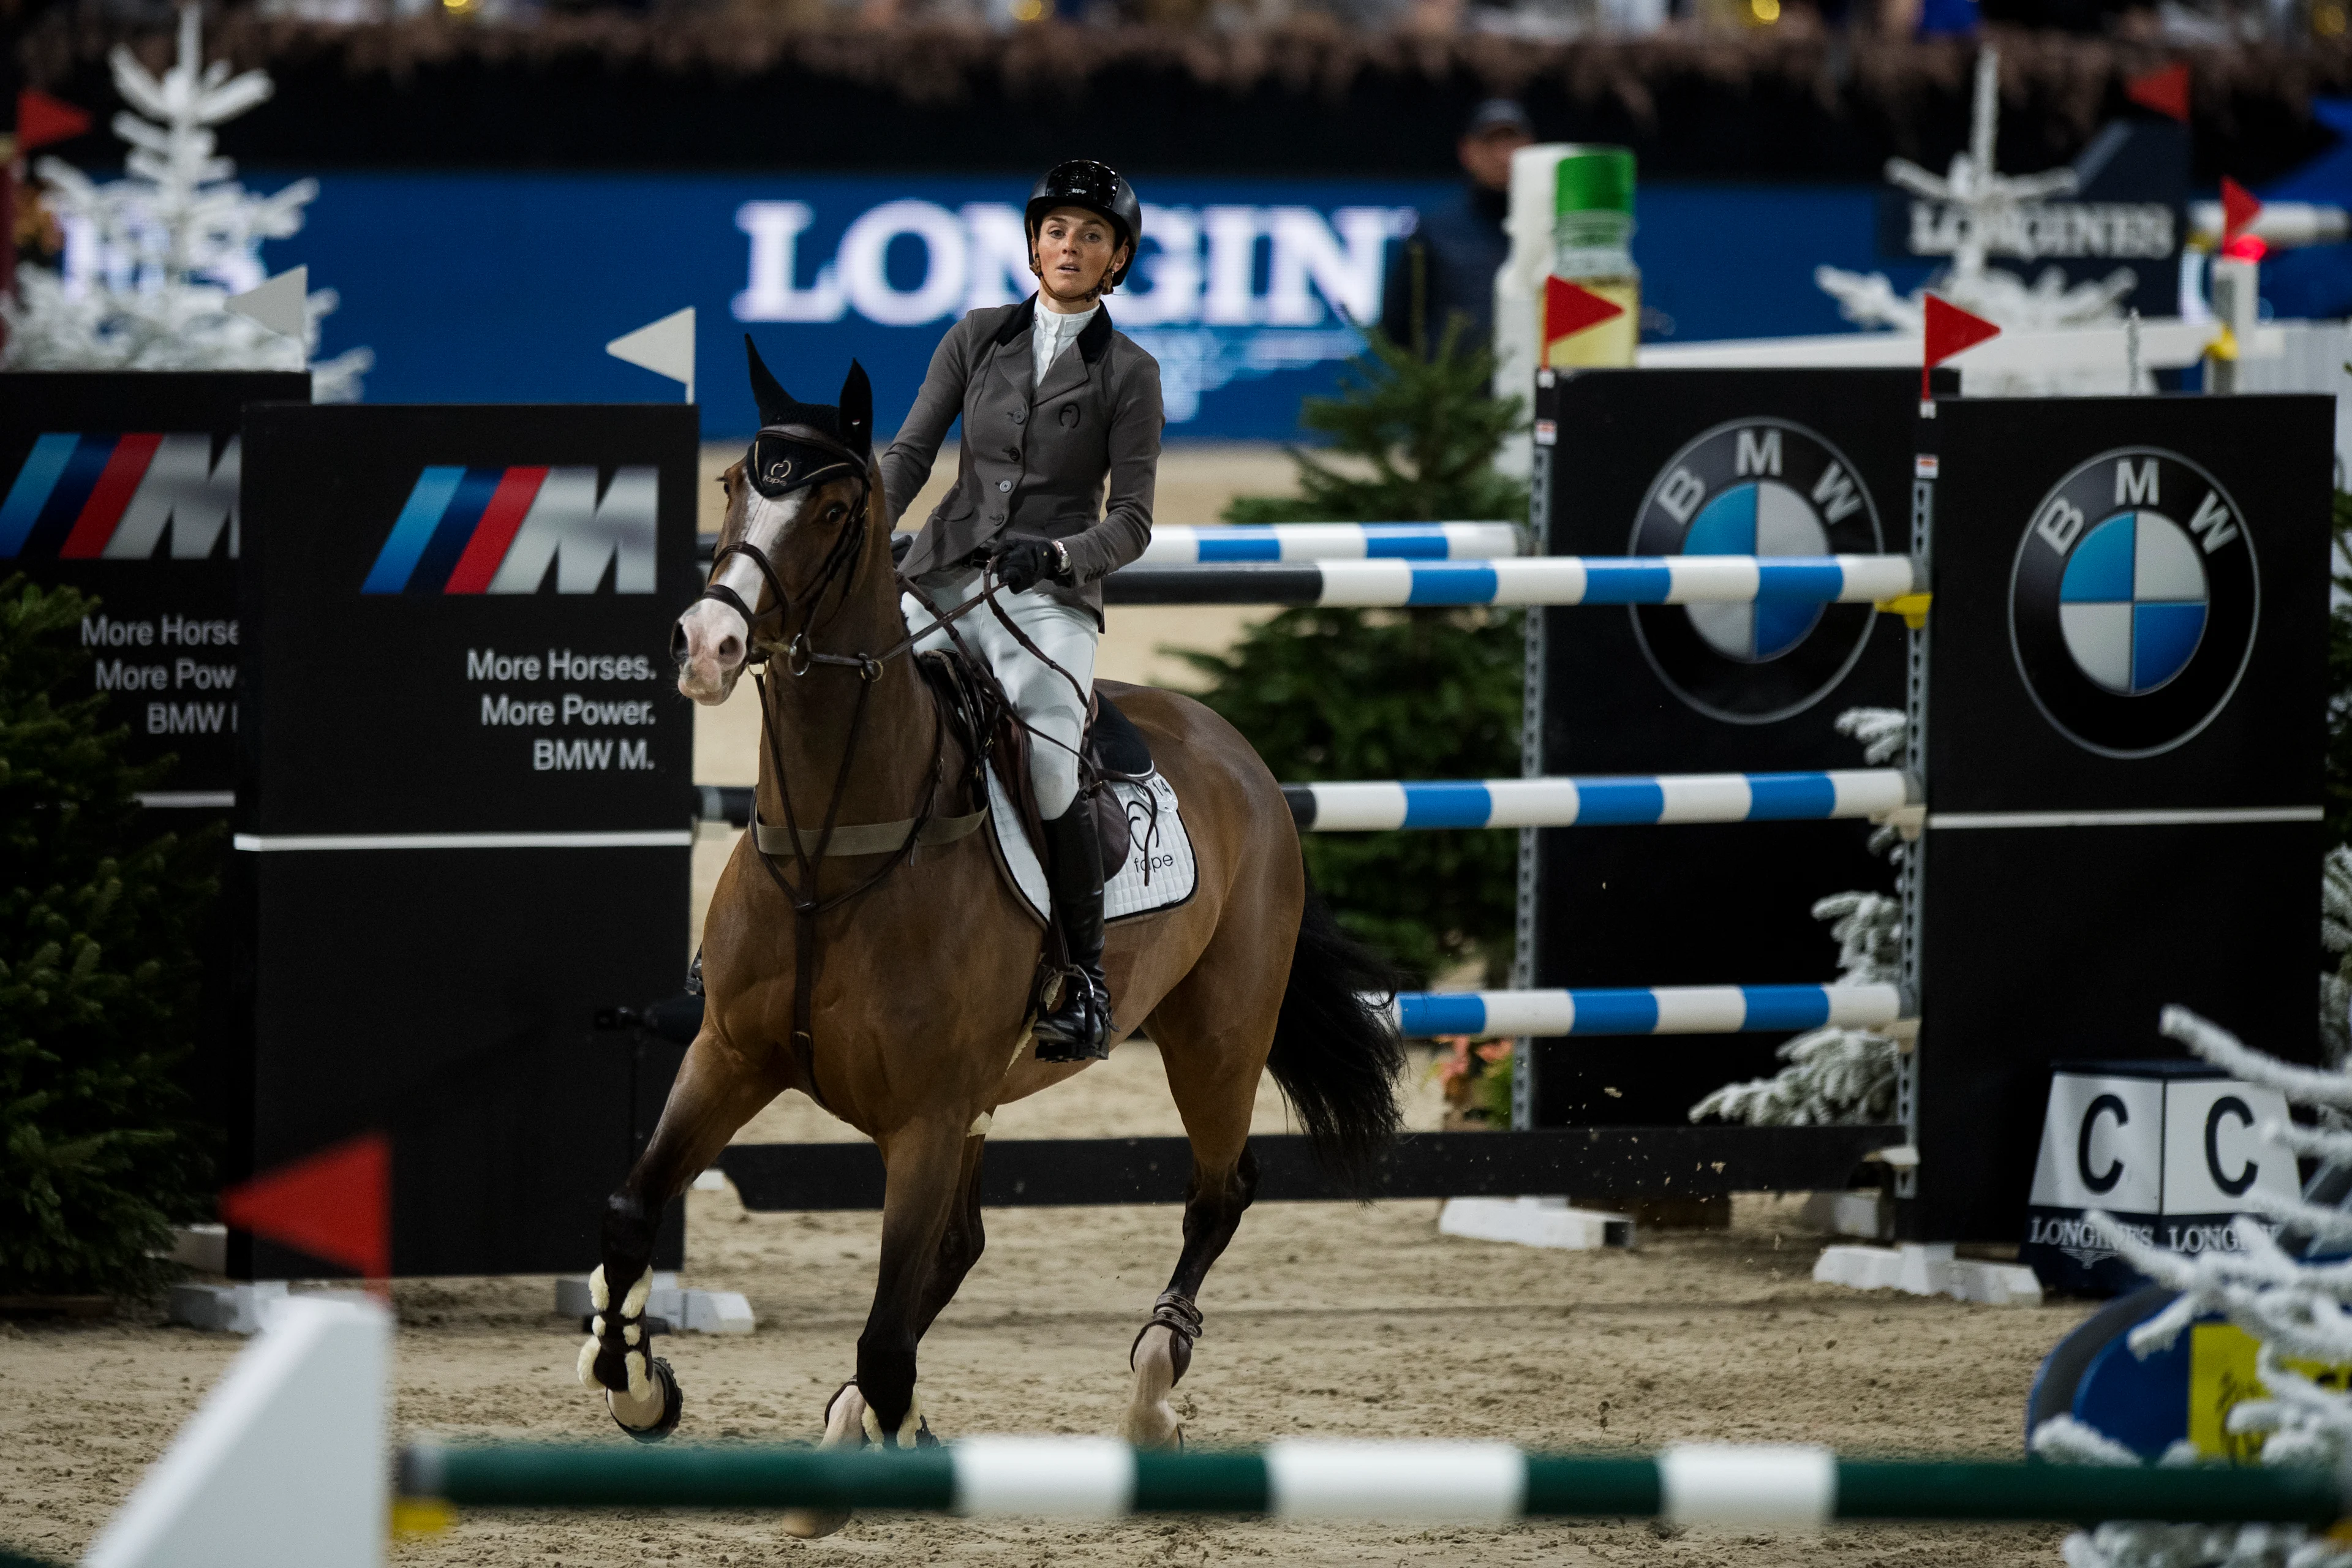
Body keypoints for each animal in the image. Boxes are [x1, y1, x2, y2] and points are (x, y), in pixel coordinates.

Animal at [578, 352, 1401, 1523]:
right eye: (736, 482)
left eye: (832, 510)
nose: (709, 643)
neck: (835, 851)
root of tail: (1236, 749)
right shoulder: (730, 1057)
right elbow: (630, 1210)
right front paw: (638, 1383)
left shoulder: (925, 1117)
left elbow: (886, 1333)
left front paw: (868, 1435)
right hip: (995, 1095)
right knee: (965, 1247)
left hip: (1215, 1040)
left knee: (1220, 1192)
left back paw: (1153, 1395)